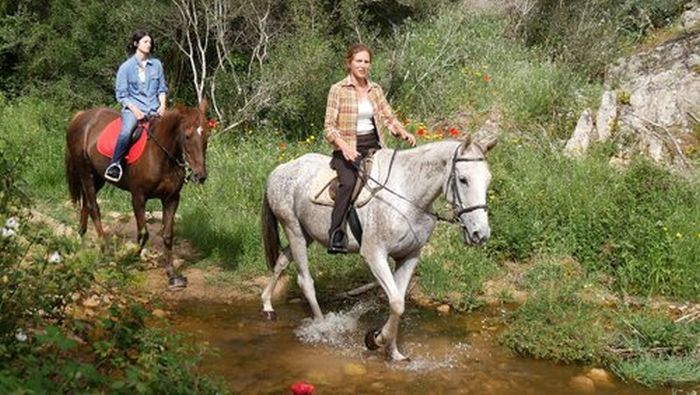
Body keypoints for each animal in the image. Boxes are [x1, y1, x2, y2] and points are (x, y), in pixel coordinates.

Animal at [66, 100, 211, 290]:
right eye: (187, 136)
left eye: (206, 136)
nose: (200, 176)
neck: (160, 155)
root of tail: (80, 116)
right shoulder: (138, 197)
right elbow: (144, 232)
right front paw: (132, 258)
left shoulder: (171, 199)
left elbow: (167, 235)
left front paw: (172, 275)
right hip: (86, 174)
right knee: (94, 208)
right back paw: (105, 251)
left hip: (98, 177)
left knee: (86, 206)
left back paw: (81, 240)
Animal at [260, 135, 494, 362]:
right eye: (463, 179)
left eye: (487, 180)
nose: (480, 234)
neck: (407, 195)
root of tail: (280, 170)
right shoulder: (375, 255)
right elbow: (397, 303)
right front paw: (376, 340)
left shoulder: (409, 256)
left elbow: (397, 302)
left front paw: (393, 352)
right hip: (294, 231)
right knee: (305, 281)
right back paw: (324, 328)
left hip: (306, 234)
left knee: (281, 261)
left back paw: (267, 305)